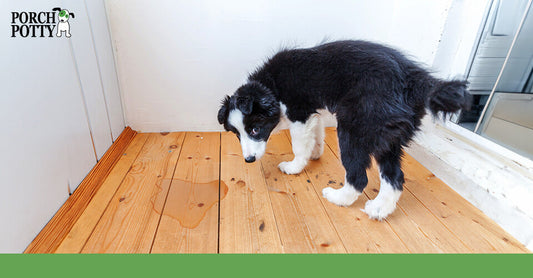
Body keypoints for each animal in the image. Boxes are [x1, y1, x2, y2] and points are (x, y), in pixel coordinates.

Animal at [216, 40, 470, 220]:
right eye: (237, 134)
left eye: (255, 129)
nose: (249, 160)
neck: (270, 85)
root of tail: (415, 80)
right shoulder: (313, 112)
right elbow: (316, 134)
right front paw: (315, 154)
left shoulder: (299, 113)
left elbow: (299, 145)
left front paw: (295, 167)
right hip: (388, 134)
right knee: (395, 177)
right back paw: (379, 209)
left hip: (353, 126)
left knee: (359, 177)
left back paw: (338, 198)